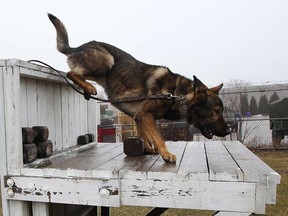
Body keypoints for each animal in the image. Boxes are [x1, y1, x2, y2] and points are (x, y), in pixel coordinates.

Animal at [48, 13, 231, 162]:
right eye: (216, 111)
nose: (229, 131)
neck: (177, 94)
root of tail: (77, 47)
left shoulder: (139, 117)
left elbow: (146, 135)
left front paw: (149, 149)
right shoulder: (144, 114)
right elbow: (158, 137)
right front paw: (166, 154)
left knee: (78, 73)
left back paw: (86, 90)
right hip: (107, 61)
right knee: (71, 73)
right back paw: (89, 88)